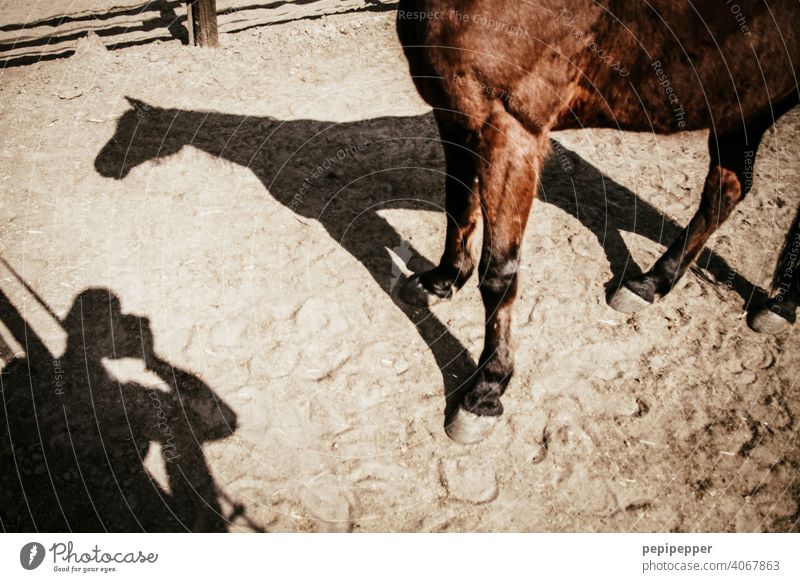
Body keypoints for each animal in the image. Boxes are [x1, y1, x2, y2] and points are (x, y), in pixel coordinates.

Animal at [400, 0, 800, 444]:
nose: (488, 389)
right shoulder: (455, 114)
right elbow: (457, 206)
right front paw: (443, 281)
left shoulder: (510, 129)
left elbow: (499, 272)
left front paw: (487, 389)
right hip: (744, 100)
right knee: (725, 192)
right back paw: (651, 283)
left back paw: (781, 305)